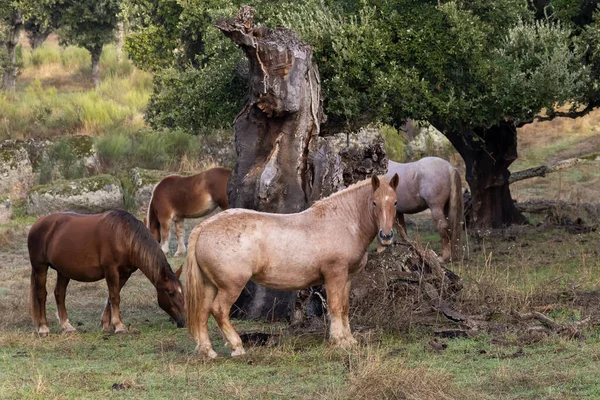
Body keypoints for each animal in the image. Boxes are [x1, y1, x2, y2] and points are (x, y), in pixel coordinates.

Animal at [27, 209, 185, 338]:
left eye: (182, 292)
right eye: (170, 293)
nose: (183, 321)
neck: (124, 235)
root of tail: (37, 224)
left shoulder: (124, 273)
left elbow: (111, 296)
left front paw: (106, 324)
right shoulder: (111, 270)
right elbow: (115, 297)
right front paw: (119, 326)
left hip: (63, 271)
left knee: (59, 294)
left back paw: (67, 326)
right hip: (40, 267)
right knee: (41, 295)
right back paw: (43, 328)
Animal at [183, 173, 398, 358]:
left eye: (394, 202)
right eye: (374, 202)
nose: (386, 236)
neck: (343, 221)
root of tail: (205, 226)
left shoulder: (347, 278)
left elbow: (344, 307)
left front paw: (349, 340)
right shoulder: (335, 274)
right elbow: (336, 307)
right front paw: (338, 341)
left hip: (209, 285)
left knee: (202, 312)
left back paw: (207, 350)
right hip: (231, 286)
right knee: (218, 310)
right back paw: (237, 346)